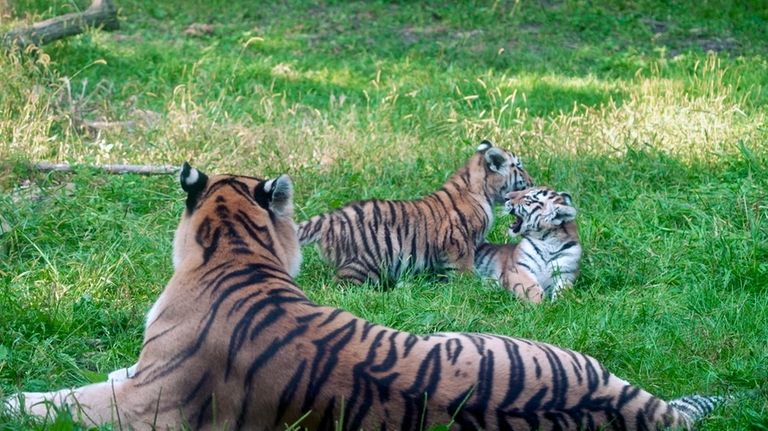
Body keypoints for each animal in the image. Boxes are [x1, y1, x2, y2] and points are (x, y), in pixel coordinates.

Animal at [6, 164, 724, 430]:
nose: (523, 204)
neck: (237, 251)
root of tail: (624, 406)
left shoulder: (146, 399)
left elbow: (64, 398)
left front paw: (16, 400)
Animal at [298, 140, 536, 286]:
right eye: (519, 167)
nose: (533, 182)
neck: (481, 191)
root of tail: (331, 217)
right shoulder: (459, 242)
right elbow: (464, 269)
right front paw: (469, 286)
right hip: (363, 263)